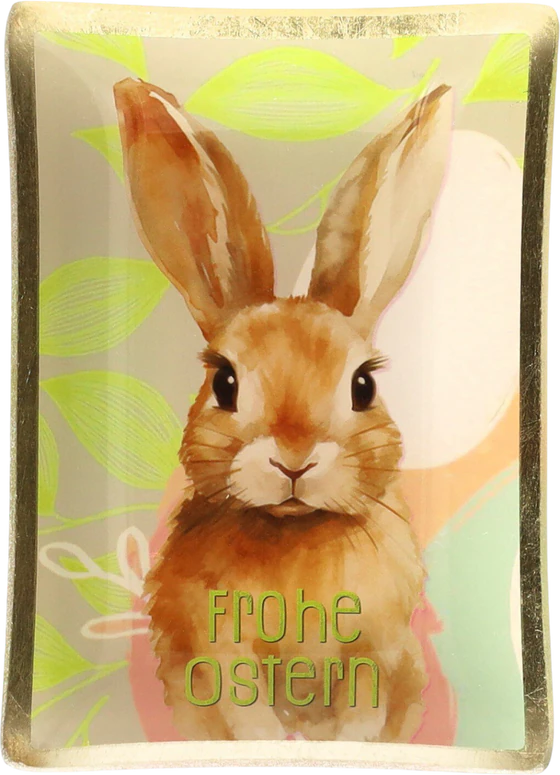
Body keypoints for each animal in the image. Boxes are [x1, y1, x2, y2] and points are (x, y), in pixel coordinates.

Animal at [114, 77, 454, 743]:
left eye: (363, 387)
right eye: (224, 382)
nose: (294, 460)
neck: (295, 531)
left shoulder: (378, 652)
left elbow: (363, 711)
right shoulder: (215, 653)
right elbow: (244, 715)